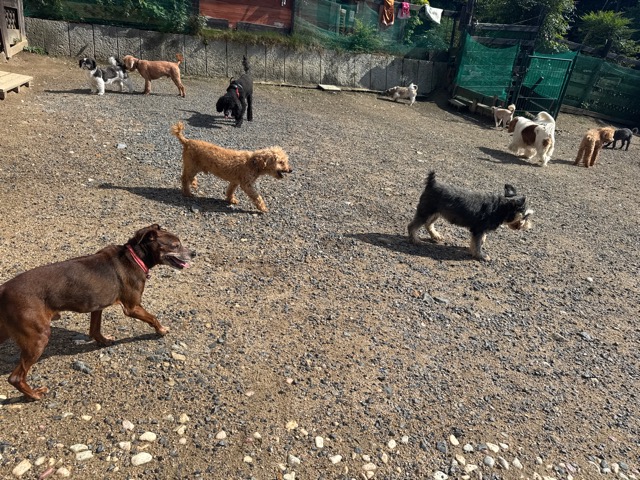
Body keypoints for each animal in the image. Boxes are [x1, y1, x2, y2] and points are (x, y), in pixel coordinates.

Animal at [0, 225, 194, 401]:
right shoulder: (132, 307)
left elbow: (95, 329)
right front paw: (161, 330)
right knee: (15, 377)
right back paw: (34, 395)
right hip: (38, 337)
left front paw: (104, 341)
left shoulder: (97, 307)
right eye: (175, 245)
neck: (135, 257)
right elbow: (153, 317)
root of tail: (3, 289)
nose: (194, 253)